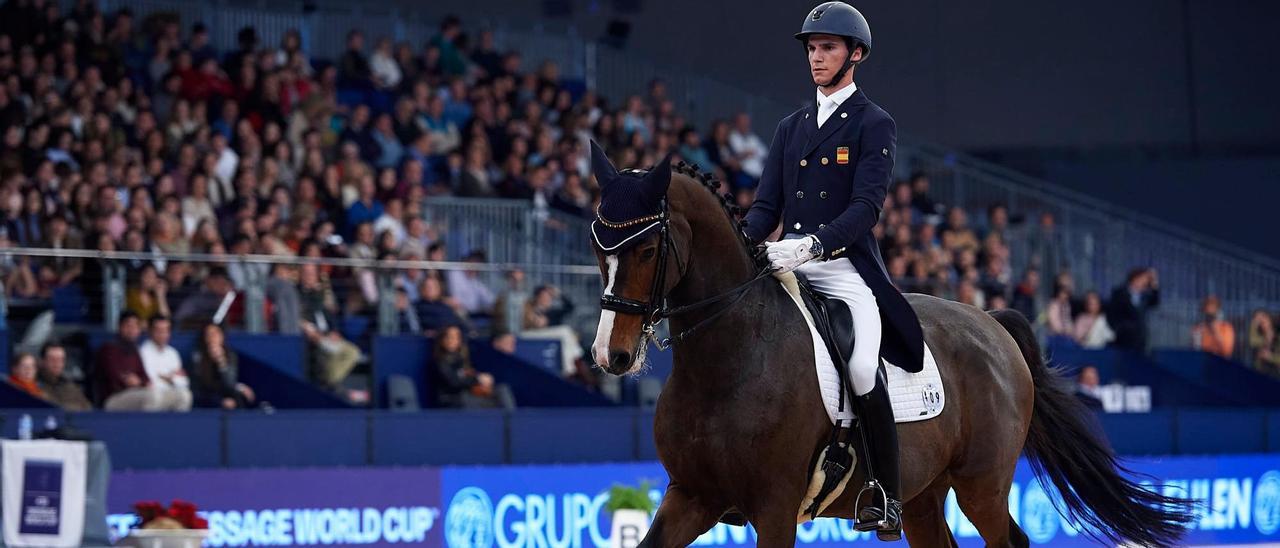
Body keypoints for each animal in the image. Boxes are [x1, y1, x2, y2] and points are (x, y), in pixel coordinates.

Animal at [586, 151, 1187, 545]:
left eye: (646, 250)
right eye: (597, 245)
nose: (610, 356)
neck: (729, 358)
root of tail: (991, 323)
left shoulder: (774, 506)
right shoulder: (690, 496)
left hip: (983, 487)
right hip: (923, 496)